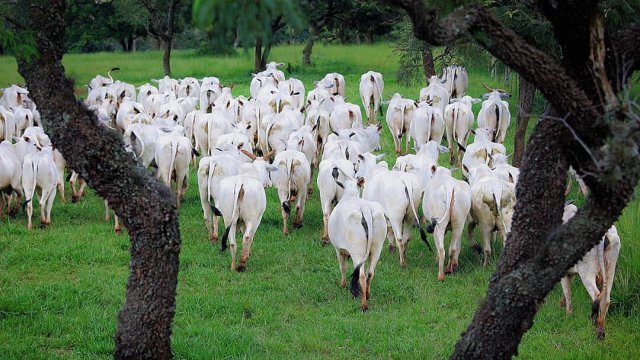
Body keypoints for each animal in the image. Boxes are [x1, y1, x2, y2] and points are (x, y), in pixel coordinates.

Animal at [330, 180, 384, 312]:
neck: (350, 195)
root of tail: (365, 209)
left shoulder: (338, 249)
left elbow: (342, 267)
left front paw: (342, 285)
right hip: (377, 248)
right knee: (370, 273)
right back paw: (367, 295)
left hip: (357, 251)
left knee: (362, 275)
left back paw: (363, 305)